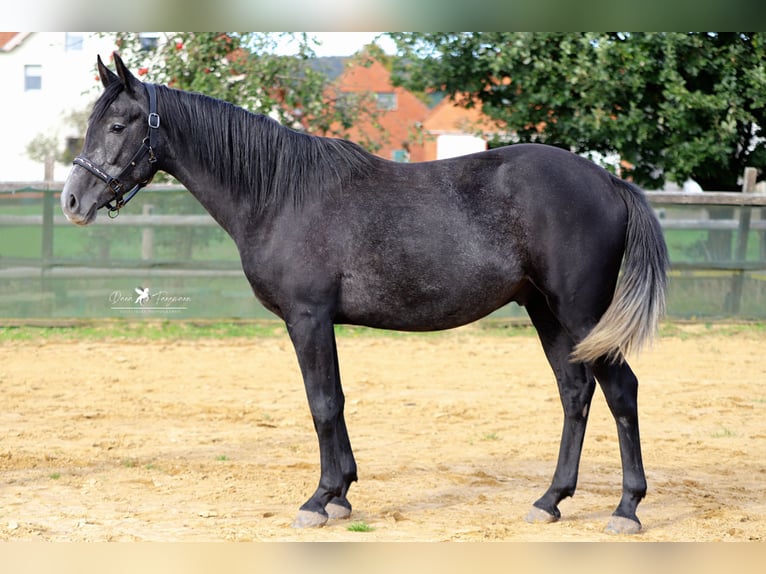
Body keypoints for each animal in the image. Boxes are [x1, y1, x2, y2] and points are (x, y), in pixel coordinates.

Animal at [61, 54, 672, 536]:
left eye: (117, 125)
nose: (72, 200)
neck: (280, 193)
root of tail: (609, 181)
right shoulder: (319, 322)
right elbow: (335, 399)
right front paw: (343, 496)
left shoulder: (308, 318)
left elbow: (322, 403)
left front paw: (318, 500)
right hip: (545, 310)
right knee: (575, 391)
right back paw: (550, 500)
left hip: (581, 311)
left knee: (622, 391)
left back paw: (626, 509)